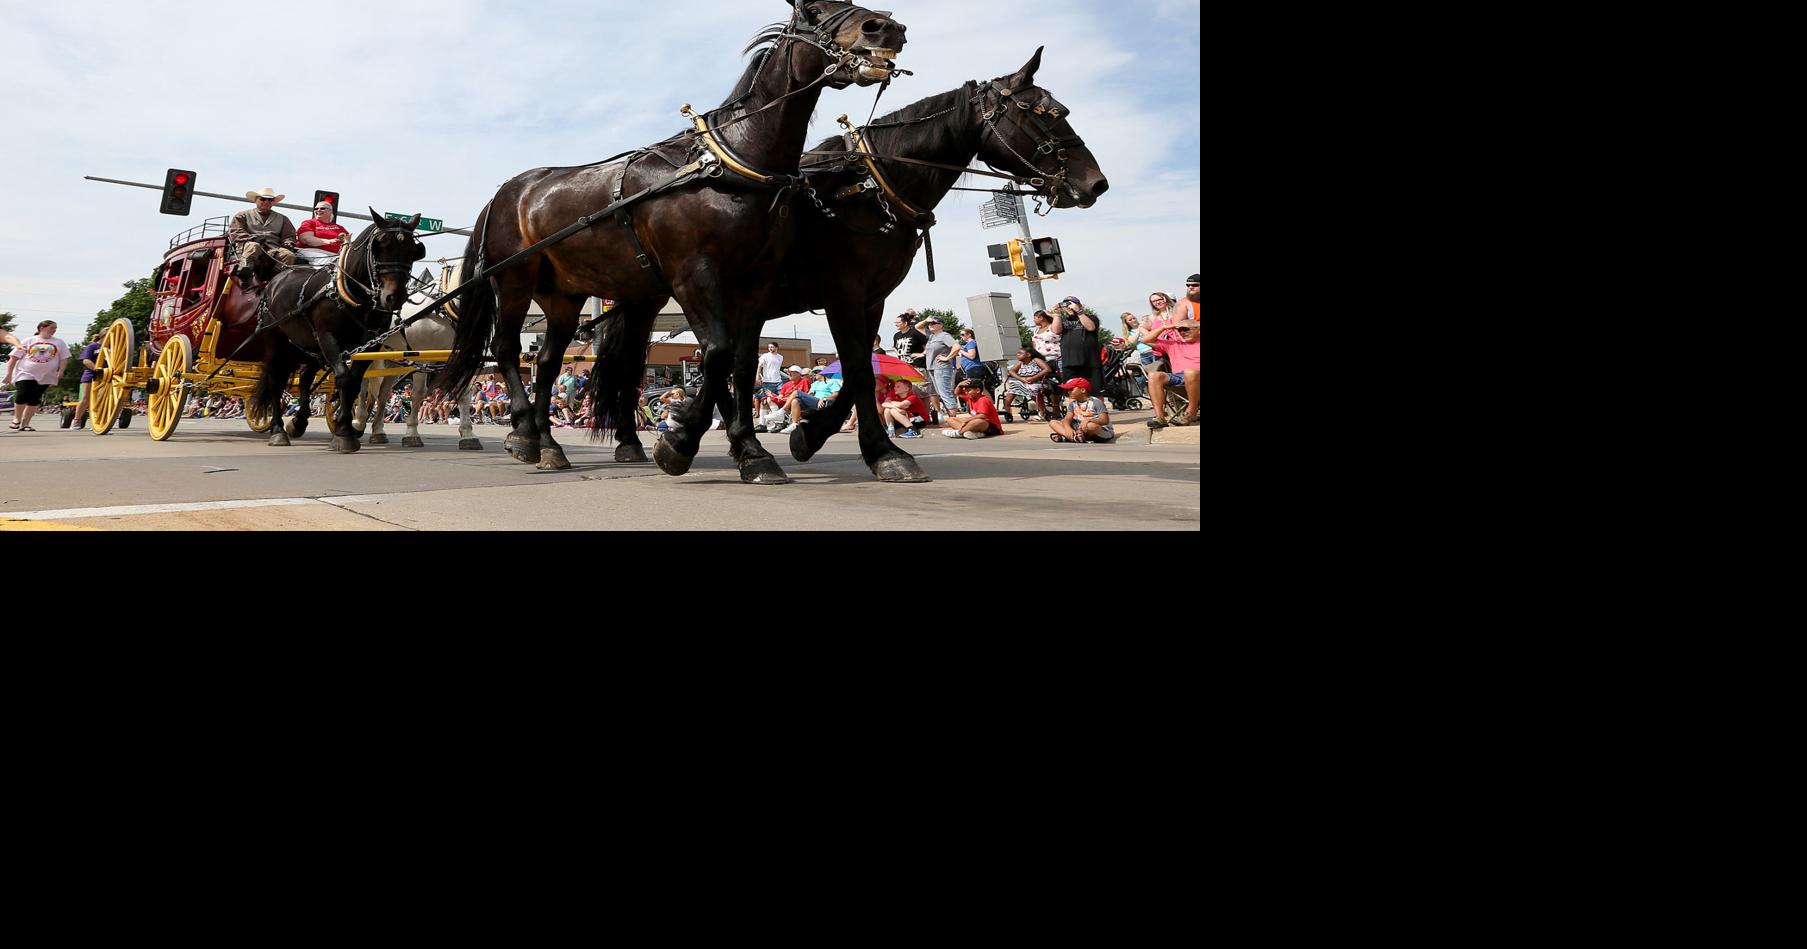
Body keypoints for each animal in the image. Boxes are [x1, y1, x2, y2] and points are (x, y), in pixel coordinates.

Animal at [430, 0, 896, 480]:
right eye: (815, 11)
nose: (885, 27)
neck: (732, 161)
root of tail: (503, 193)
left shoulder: (755, 283)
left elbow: (741, 363)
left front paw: (750, 451)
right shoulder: (693, 274)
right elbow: (716, 354)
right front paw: (680, 442)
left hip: (563, 297)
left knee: (546, 363)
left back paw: (548, 444)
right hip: (514, 279)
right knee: (506, 348)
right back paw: (524, 433)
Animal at [589, 49, 1098, 480]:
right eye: (1044, 113)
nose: (1096, 183)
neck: (866, 190)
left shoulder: (871, 300)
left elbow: (864, 372)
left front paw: (827, 438)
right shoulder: (844, 293)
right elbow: (854, 370)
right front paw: (870, 449)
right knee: (636, 369)